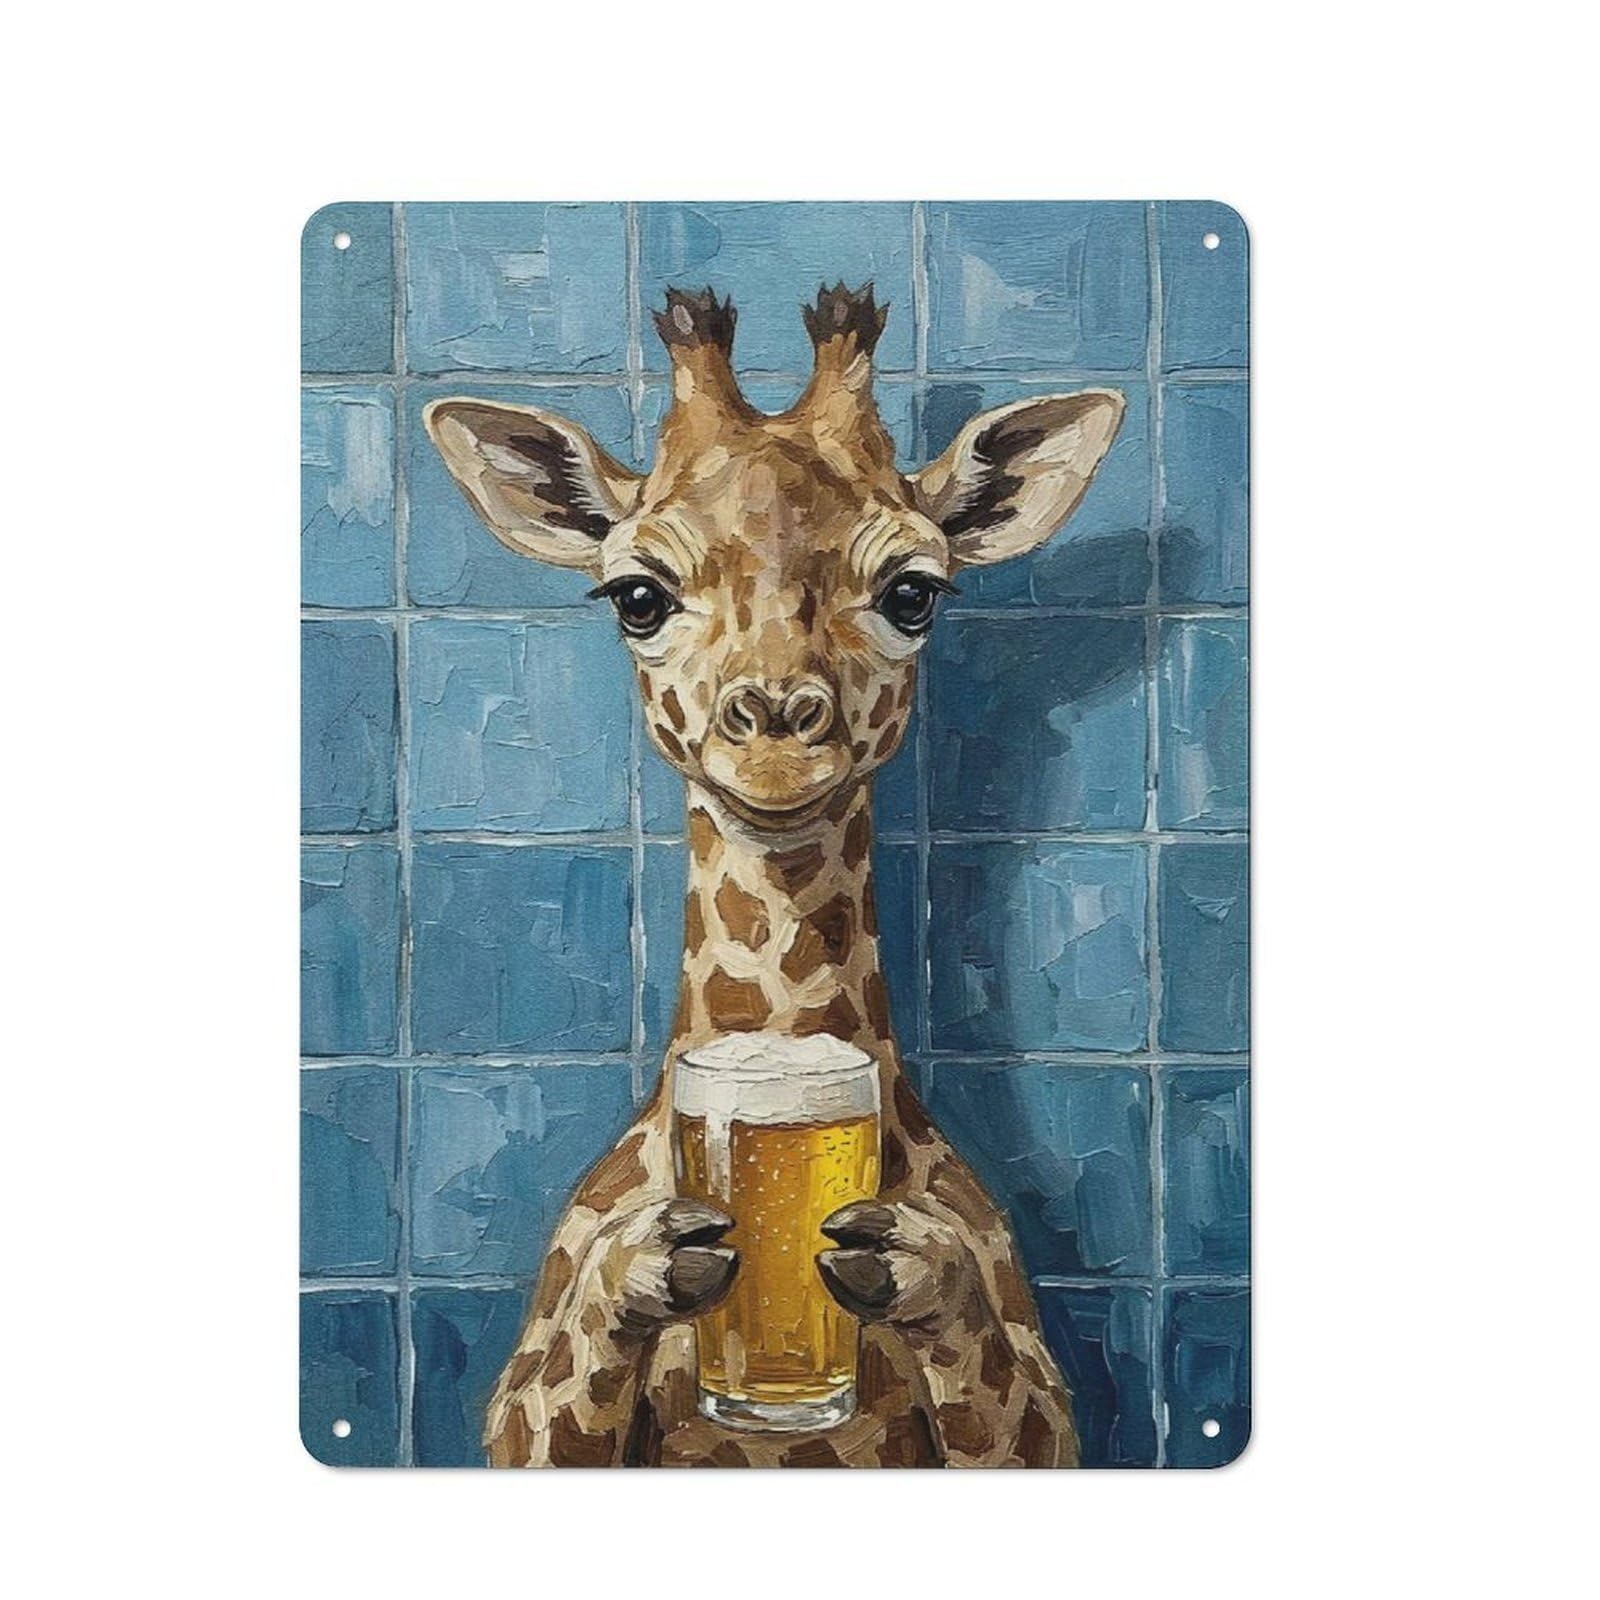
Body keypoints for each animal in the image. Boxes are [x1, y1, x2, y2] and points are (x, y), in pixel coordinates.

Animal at [425, 283, 1125, 1467]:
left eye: (914, 591)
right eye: (637, 595)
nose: (776, 732)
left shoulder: (1045, 1426)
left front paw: (908, 1264)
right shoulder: (519, 1424)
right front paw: (645, 1267)